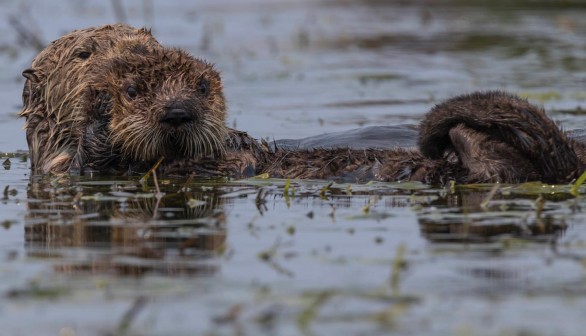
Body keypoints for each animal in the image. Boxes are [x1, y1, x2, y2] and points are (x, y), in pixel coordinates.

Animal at [18, 24, 584, 184]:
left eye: (146, 40)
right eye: (85, 53)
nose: (178, 112)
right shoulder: (60, 168)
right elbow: (87, 164)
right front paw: (99, 122)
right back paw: (463, 139)